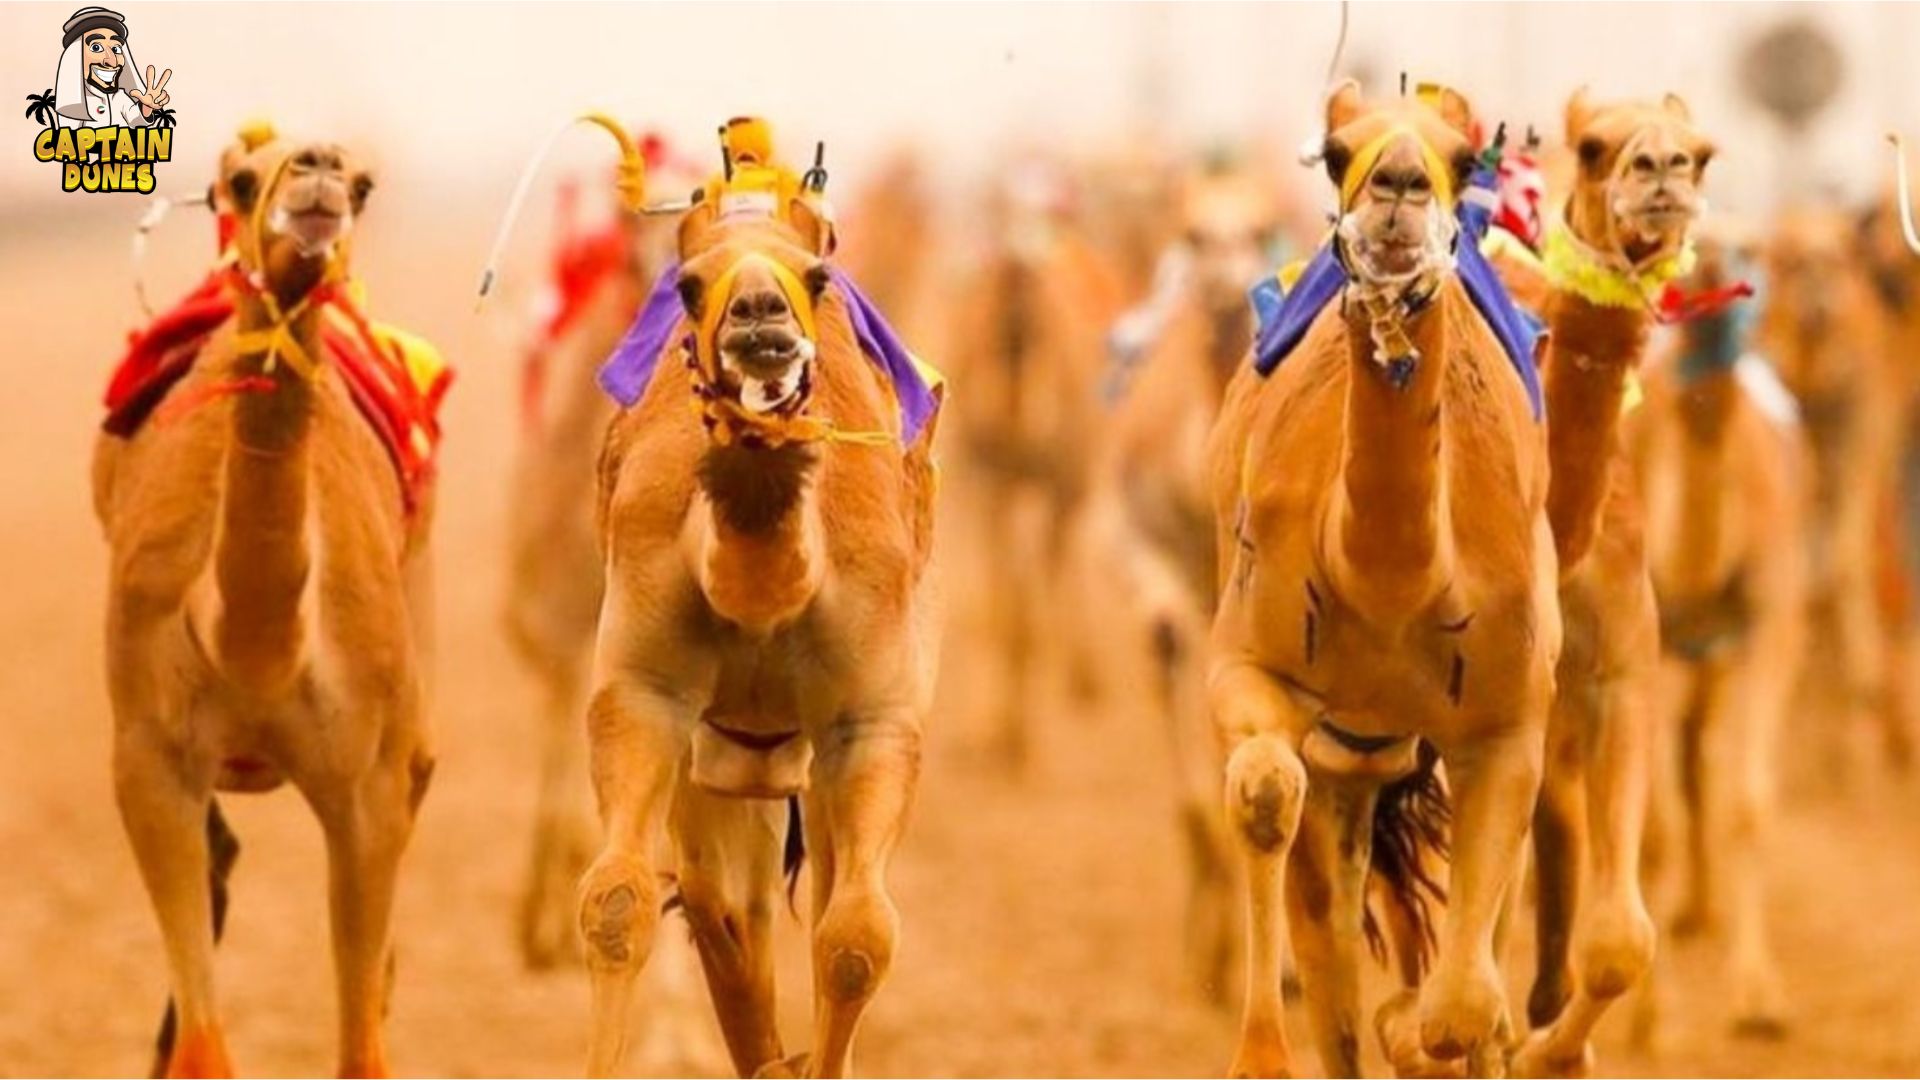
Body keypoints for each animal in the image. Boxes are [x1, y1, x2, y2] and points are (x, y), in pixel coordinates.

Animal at [92, 134, 435, 1077]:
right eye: (239, 182)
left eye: (363, 183)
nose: (316, 169)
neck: (256, 648)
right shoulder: (150, 760)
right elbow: (206, 1045)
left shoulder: (366, 782)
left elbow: (362, 1052)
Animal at [578, 127, 941, 1079]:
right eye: (688, 283)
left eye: (815, 275)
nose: (758, 320)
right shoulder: (642, 690)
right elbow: (619, 901)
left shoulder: (873, 721)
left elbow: (856, 940)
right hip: (723, 760)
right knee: (726, 911)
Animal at [1204, 82, 1560, 1078]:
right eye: (1336, 151)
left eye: (1465, 156)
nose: (1398, 181)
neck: (1395, 582)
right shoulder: (1248, 663)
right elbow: (1263, 792)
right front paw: (1264, 1051)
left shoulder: (1508, 723)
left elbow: (1462, 1009)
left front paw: (1442, 1023)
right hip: (1351, 766)